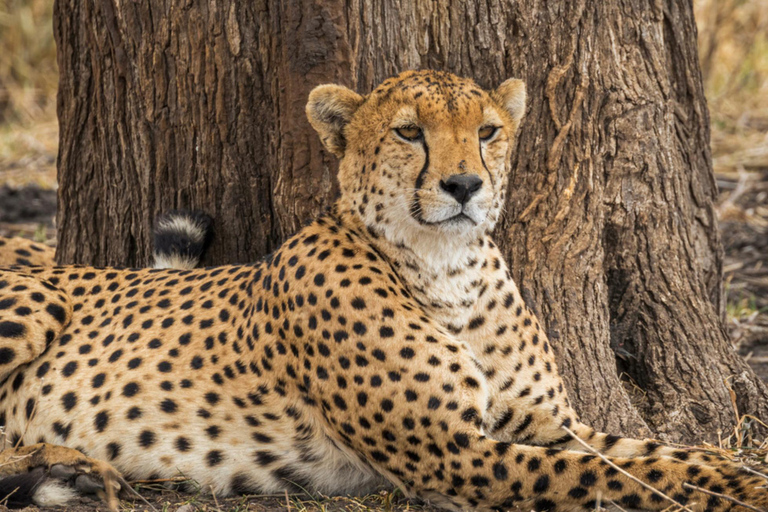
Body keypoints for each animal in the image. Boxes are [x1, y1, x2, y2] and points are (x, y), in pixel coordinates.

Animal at [0, 70, 760, 510]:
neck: (447, 268)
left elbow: (664, 455)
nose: (464, 185)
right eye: (409, 132)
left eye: (487, 131)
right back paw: (61, 471)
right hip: (36, 302)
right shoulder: (455, 454)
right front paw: (726, 492)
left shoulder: (547, 423)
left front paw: (741, 475)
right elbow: (617, 478)